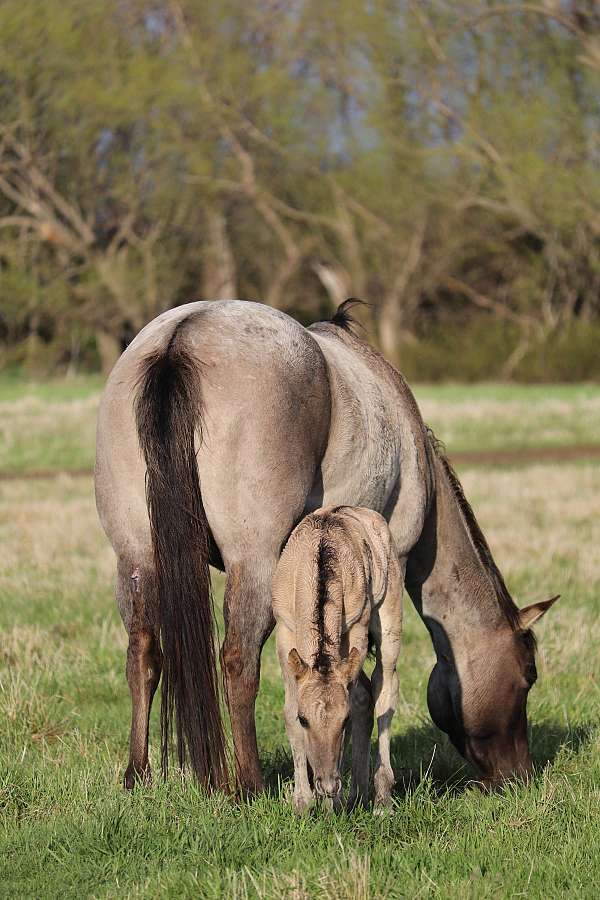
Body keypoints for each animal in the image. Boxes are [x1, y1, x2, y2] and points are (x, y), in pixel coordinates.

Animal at [272, 506, 404, 808]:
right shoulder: (284, 633)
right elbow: (288, 708)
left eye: (343, 721)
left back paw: (380, 799)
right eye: (304, 720)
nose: (329, 785)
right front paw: (303, 801)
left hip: (389, 619)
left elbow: (358, 702)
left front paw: (331, 804)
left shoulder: (356, 627)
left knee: (383, 689)